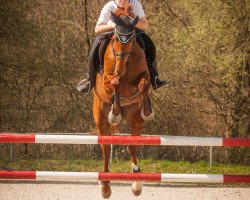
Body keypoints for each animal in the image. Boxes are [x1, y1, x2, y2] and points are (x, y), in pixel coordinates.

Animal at [93, 6, 153, 198]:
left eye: (132, 39)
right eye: (115, 38)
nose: (119, 69)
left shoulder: (145, 75)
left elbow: (143, 84)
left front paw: (147, 108)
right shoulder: (107, 79)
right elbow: (115, 82)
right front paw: (115, 112)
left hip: (135, 121)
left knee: (132, 146)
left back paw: (136, 182)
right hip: (100, 119)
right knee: (105, 150)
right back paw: (105, 186)